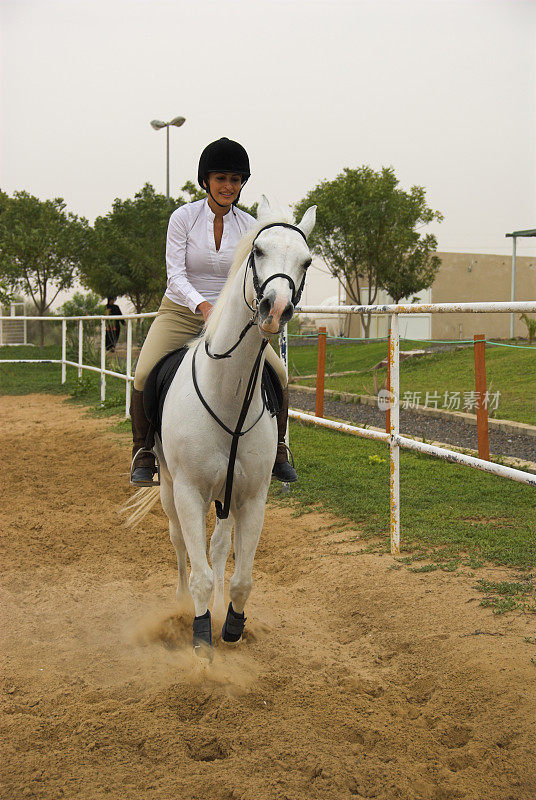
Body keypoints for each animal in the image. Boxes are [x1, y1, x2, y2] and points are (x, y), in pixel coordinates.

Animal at [125, 197, 316, 652]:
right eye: (257, 251)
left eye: (307, 261)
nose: (275, 310)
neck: (226, 398)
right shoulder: (190, 492)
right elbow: (199, 574)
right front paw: (199, 636)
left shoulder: (251, 497)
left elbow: (241, 576)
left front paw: (230, 623)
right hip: (170, 488)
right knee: (180, 544)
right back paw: (181, 606)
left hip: (225, 494)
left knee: (217, 546)